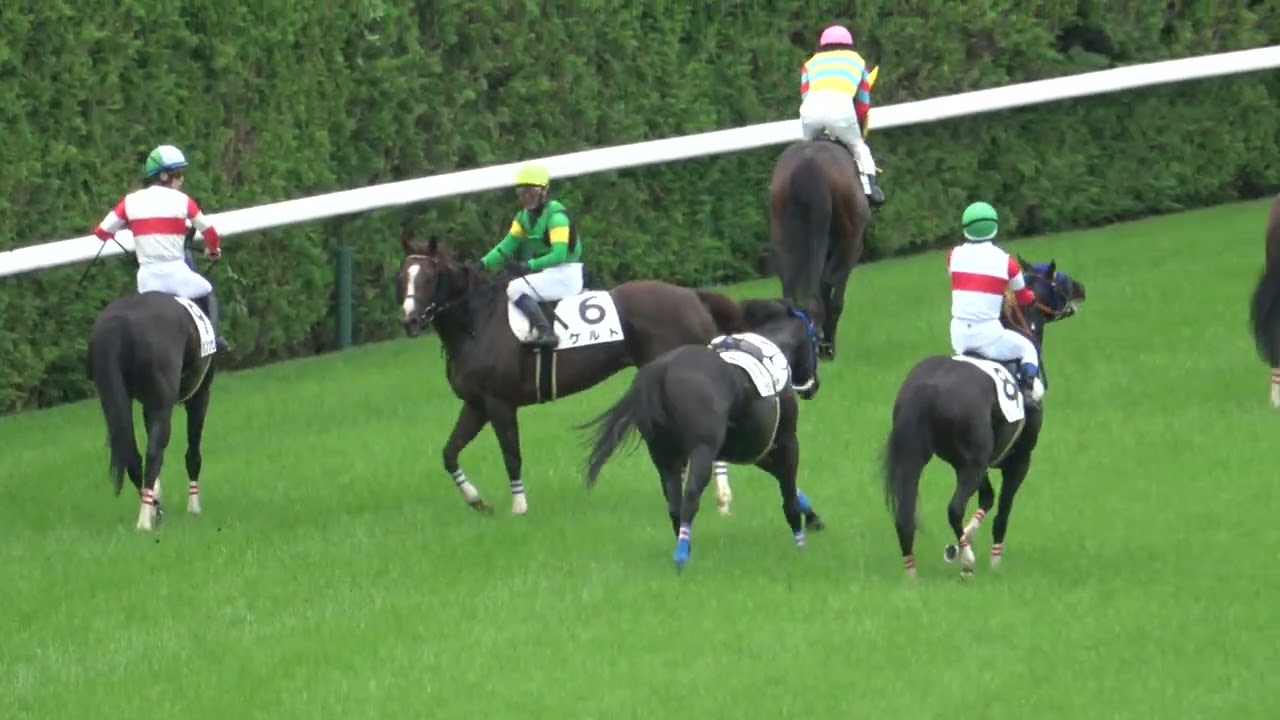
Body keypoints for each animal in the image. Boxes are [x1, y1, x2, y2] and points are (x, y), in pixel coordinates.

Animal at [86, 284, 221, 531]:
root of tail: (117, 323)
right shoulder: (200, 395)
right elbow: (193, 452)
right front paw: (194, 507)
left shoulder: (146, 406)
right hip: (163, 405)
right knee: (154, 453)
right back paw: (145, 520)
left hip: (115, 400)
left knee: (132, 455)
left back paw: (152, 509)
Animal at [396, 234, 756, 517]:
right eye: (403, 276)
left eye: (428, 277)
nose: (410, 320)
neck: (478, 323)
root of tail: (693, 296)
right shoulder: (476, 404)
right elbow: (449, 453)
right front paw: (477, 502)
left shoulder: (499, 403)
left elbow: (511, 456)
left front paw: (519, 508)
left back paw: (722, 499)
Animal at [578, 298, 824, 570]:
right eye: (817, 337)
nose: (813, 385)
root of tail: (661, 370)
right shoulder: (785, 442)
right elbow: (789, 495)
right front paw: (801, 544)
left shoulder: (754, 451)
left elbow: (790, 486)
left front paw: (814, 519)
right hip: (701, 452)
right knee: (690, 497)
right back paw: (682, 554)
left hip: (664, 456)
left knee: (674, 502)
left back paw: (684, 547)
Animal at [768, 135, 873, 362]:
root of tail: (807, 166)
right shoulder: (851, 246)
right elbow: (834, 293)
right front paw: (827, 344)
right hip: (845, 240)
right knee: (823, 289)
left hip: (782, 238)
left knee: (791, 292)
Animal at [879, 259, 1086, 579]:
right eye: (1059, 280)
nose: (1081, 288)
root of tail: (927, 388)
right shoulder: (1018, 460)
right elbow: (1002, 509)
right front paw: (992, 558)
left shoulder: (975, 461)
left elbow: (986, 500)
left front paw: (958, 544)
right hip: (972, 464)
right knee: (953, 507)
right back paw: (967, 561)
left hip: (921, 458)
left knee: (905, 513)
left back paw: (914, 571)